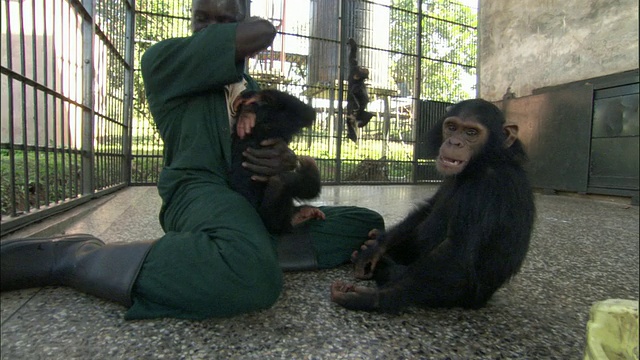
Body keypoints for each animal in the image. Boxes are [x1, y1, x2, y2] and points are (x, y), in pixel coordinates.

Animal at [229, 89, 320, 233]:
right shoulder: (282, 120)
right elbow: (305, 113)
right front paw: (258, 97)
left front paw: (248, 102)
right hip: (273, 220)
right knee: (282, 181)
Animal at [330, 98, 536, 312]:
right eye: (452, 127)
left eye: (471, 132)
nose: (454, 142)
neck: (480, 164)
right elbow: (429, 206)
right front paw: (374, 249)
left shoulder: (490, 186)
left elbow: (456, 256)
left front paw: (371, 298)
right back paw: (372, 240)